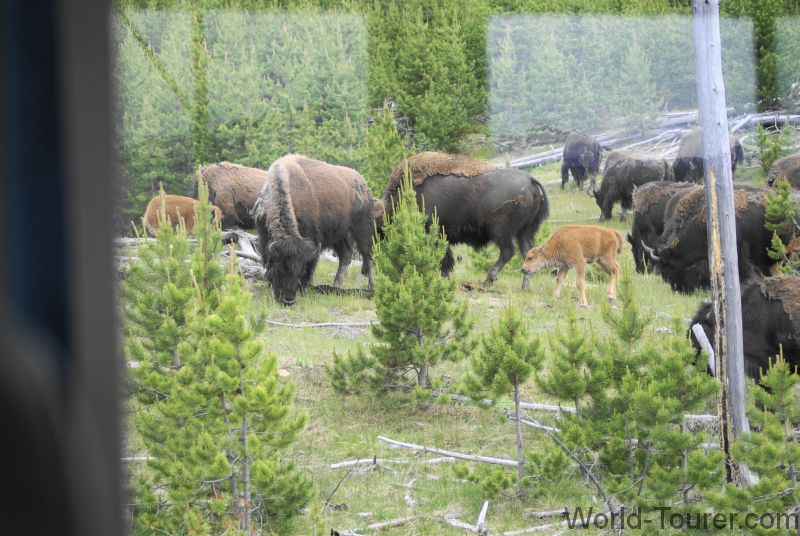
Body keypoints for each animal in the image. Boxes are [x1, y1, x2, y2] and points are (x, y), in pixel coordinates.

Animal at [252, 155, 377, 305]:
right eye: (278, 268)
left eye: (299, 271)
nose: (288, 300)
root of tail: (363, 184)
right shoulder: (264, 237)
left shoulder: (313, 241)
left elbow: (310, 266)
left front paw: (303, 289)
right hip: (340, 236)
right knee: (345, 256)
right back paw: (336, 285)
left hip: (362, 230)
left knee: (367, 256)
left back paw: (371, 287)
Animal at [382, 152, 550, 289]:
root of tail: (530, 180)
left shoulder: (436, 233)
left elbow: (444, 259)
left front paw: (443, 277)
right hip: (524, 231)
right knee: (527, 252)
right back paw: (524, 287)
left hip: (500, 231)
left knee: (508, 252)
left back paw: (487, 281)